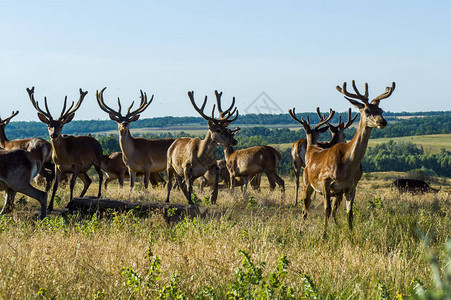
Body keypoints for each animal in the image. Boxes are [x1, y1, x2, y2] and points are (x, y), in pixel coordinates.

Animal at [302, 81, 398, 236]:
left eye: (381, 110)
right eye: (367, 111)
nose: (383, 122)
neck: (346, 166)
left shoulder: (351, 187)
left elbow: (349, 213)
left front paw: (351, 235)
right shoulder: (325, 180)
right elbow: (326, 210)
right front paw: (324, 236)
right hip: (307, 184)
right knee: (305, 210)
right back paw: (300, 231)